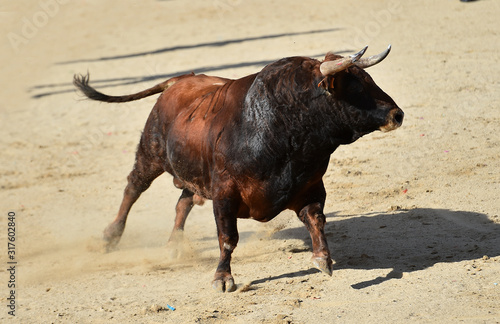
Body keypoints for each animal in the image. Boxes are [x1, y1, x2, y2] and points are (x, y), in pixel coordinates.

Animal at [73, 45, 402, 292]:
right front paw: (223, 279)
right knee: (134, 188)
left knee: (183, 201)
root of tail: (181, 80)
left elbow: (316, 220)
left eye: (368, 79)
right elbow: (228, 238)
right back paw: (111, 236)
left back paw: (175, 246)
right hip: (150, 153)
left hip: (194, 172)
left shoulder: (310, 186)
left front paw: (323, 260)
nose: (397, 114)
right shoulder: (224, 194)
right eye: (354, 86)